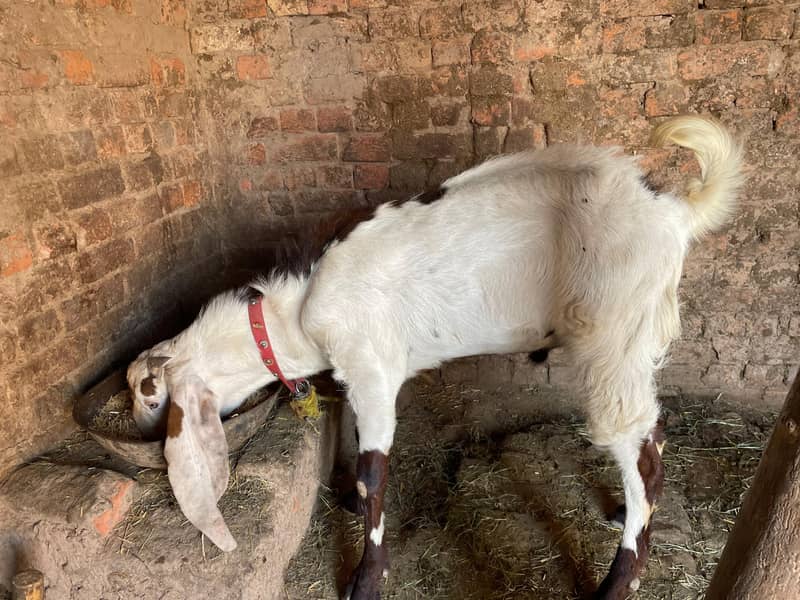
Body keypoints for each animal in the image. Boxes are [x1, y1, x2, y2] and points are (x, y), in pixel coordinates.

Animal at [127, 115, 743, 599]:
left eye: (148, 395)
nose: (136, 424)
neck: (292, 311)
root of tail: (673, 212)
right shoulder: (359, 375)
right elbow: (356, 443)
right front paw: (350, 505)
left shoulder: (372, 369)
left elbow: (374, 471)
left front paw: (366, 579)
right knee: (652, 434)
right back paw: (624, 512)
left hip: (615, 335)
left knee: (640, 447)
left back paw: (619, 579)